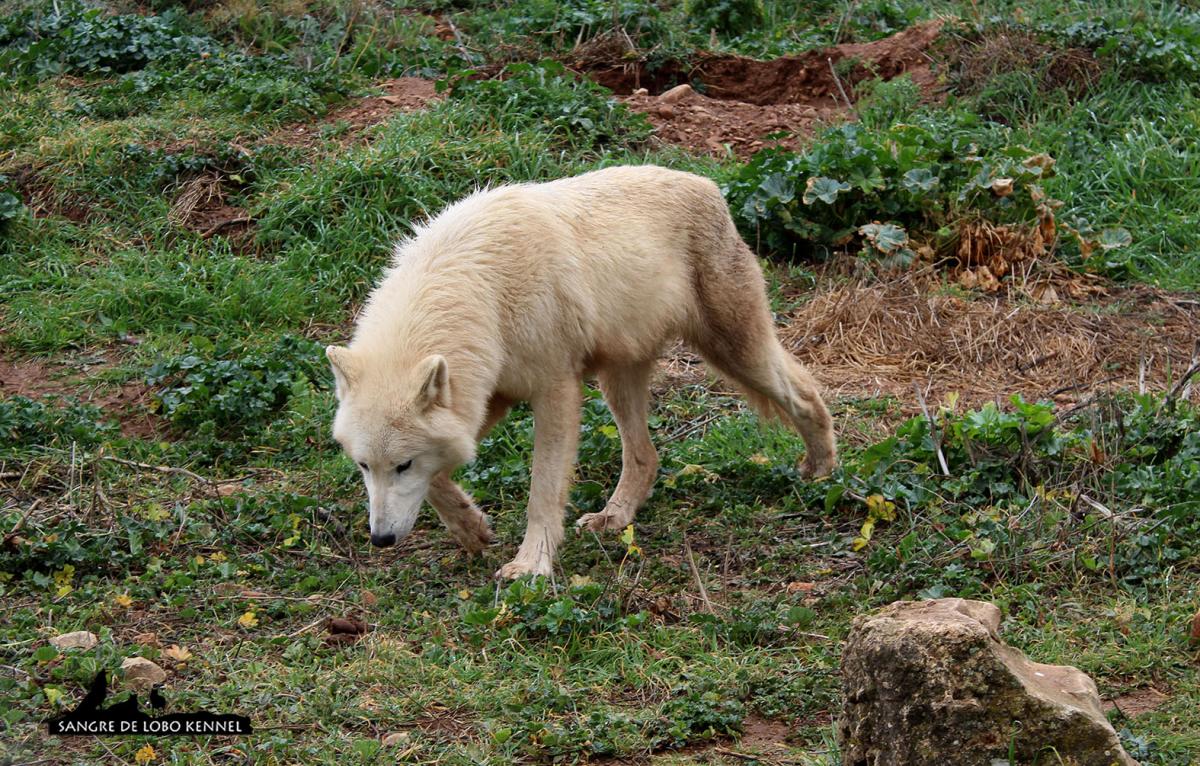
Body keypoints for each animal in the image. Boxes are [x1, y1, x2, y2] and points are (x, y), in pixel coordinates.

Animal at [326, 165, 835, 578]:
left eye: (403, 465)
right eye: (364, 466)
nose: (381, 539)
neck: (478, 291)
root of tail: (708, 184)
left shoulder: (555, 390)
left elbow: (543, 490)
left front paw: (531, 565)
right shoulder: (487, 397)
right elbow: (440, 479)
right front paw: (472, 529)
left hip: (735, 352)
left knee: (805, 394)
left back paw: (823, 472)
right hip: (618, 380)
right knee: (645, 455)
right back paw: (614, 517)